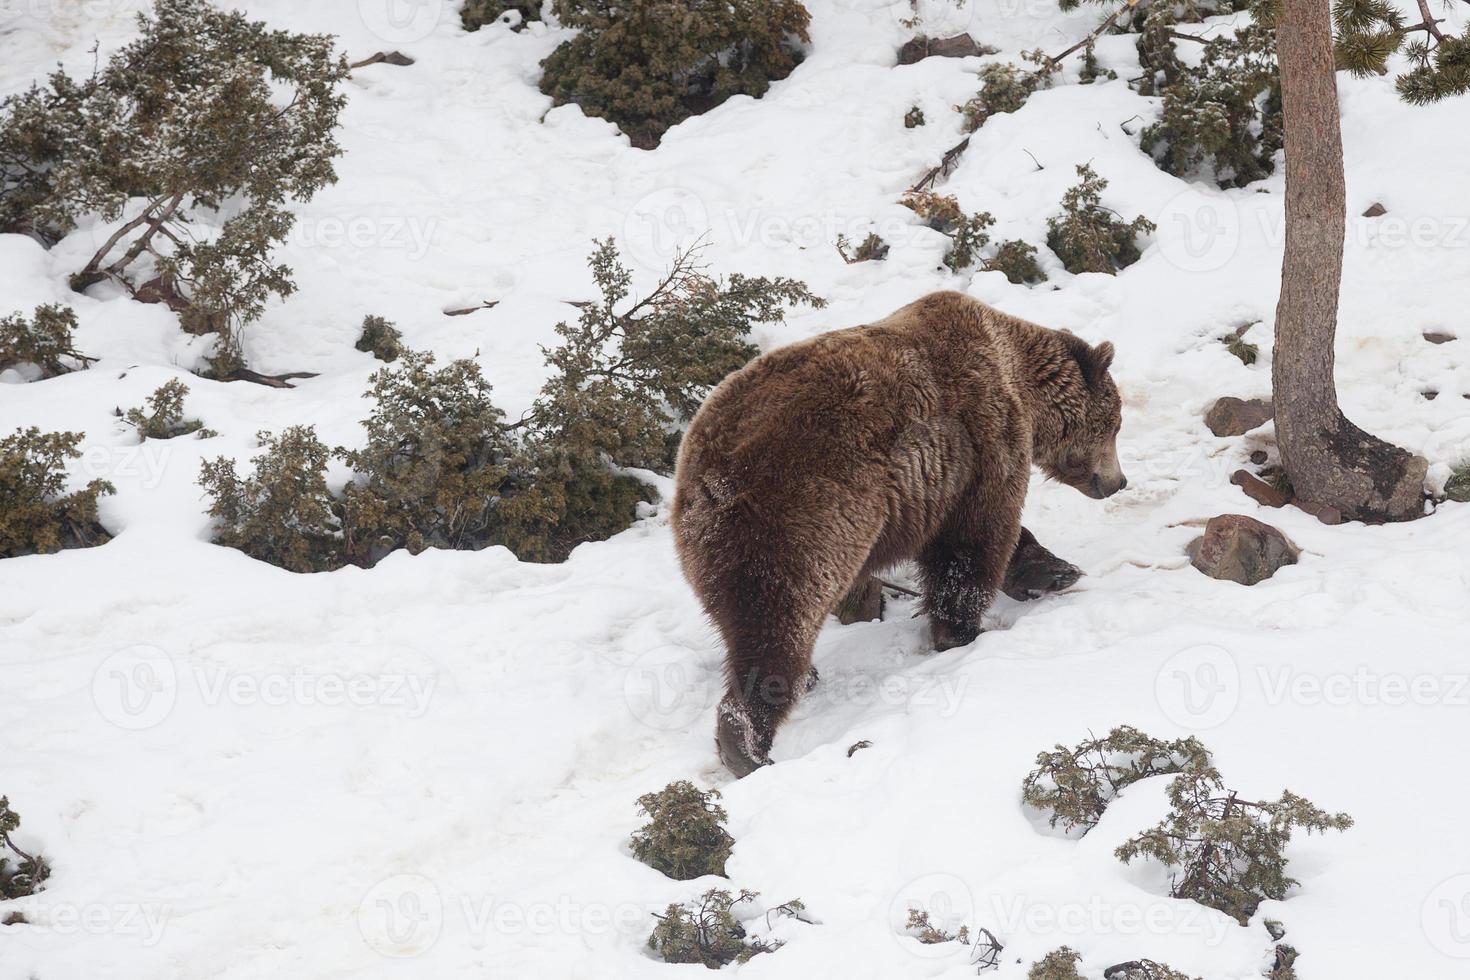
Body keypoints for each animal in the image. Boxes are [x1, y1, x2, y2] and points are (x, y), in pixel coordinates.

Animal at [670, 287, 1123, 775]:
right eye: (1116, 424)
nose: (1118, 481)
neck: (1019, 379)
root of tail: (704, 479)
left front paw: (1056, 571)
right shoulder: (979, 437)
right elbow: (974, 542)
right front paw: (963, 632)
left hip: (716, 548)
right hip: (793, 520)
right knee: (777, 624)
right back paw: (749, 744)